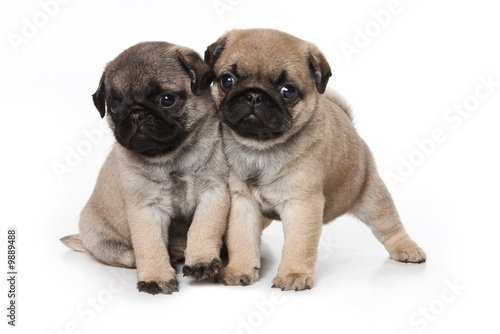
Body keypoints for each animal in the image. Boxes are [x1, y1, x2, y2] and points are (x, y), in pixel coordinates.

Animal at [59, 41, 229, 294]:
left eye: (166, 99)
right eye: (115, 106)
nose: (136, 113)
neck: (172, 157)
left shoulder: (213, 193)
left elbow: (203, 228)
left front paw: (202, 261)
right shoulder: (145, 209)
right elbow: (150, 245)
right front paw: (156, 277)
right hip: (102, 241)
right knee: (130, 256)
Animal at [205, 28, 428, 290]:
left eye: (287, 91)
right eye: (227, 80)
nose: (254, 95)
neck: (260, 148)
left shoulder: (302, 204)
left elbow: (299, 245)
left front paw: (293, 274)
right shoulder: (243, 203)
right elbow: (242, 239)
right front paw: (240, 268)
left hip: (372, 197)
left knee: (389, 226)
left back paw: (407, 249)